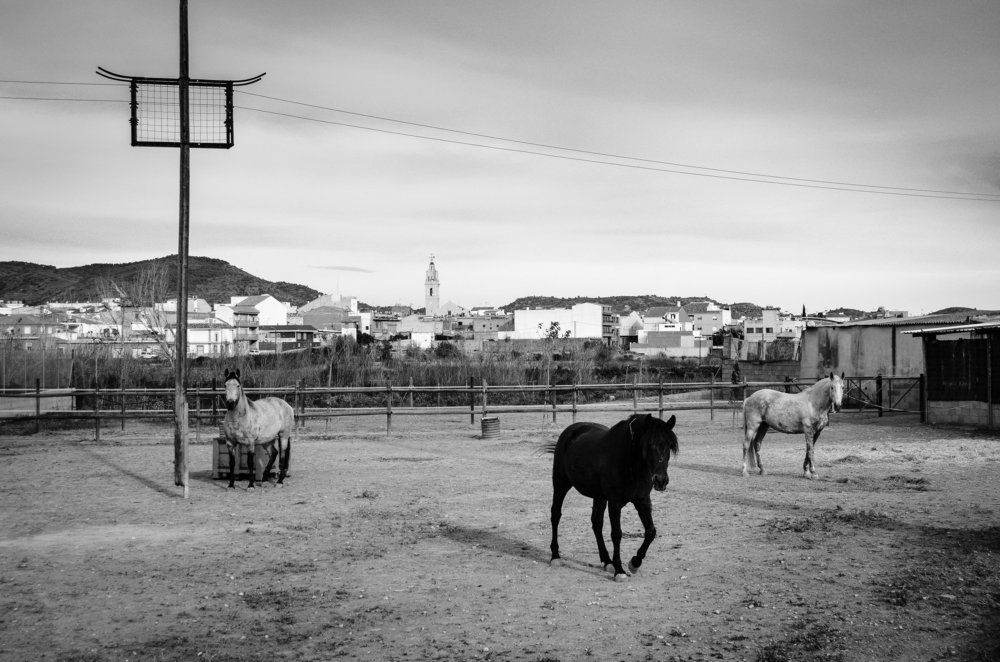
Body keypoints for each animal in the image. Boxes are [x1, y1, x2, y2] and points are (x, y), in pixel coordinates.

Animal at [541, 413, 679, 582]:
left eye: (670, 446)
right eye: (649, 444)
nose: (661, 480)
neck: (629, 462)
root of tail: (569, 431)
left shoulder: (643, 500)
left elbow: (651, 531)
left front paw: (634, 563)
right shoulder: (615, 503)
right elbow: (617, 534)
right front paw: (620, 570)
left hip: (599, 497)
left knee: (596, 523)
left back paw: (607, 561)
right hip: (561, 484)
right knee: (556, 515)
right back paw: (555, 556)